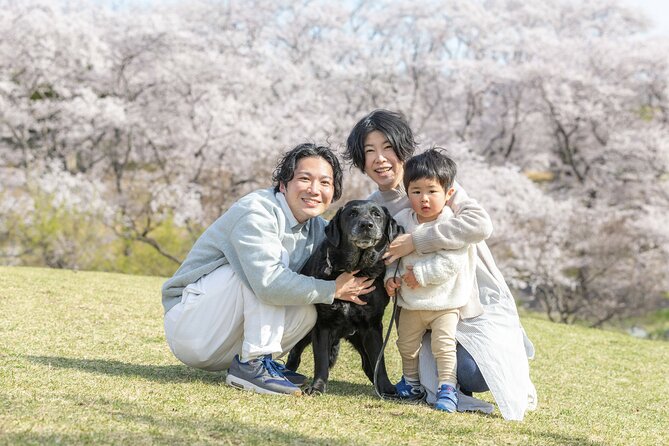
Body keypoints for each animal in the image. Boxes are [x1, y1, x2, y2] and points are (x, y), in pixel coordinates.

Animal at [284, 199, 400, 394]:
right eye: (352, 213)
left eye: (376, 214)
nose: (366, 225)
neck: (355, 269)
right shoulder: (322, 325)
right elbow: (321, 361)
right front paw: (317, 387)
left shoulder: (372, 327)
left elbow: (380, 362)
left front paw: (386, 388)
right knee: (294, 356)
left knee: (368, 365)